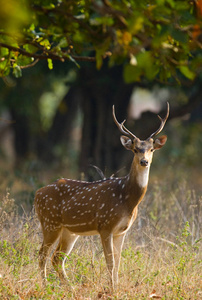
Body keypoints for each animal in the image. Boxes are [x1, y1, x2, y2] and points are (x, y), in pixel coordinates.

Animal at [34, 102, 169, 290]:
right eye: (135, 149)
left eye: (151, 149)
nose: (144, 161)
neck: (127, 199)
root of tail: (37, 194)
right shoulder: (105, 225)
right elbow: (110, 262)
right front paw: (111, 289)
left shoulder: (122, 231)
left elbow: (118, 262)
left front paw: (116, 288)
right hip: (50, 222)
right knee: (42, 255)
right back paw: (46, 286)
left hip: (69, 230)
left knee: (57, 258)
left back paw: (70, 288)